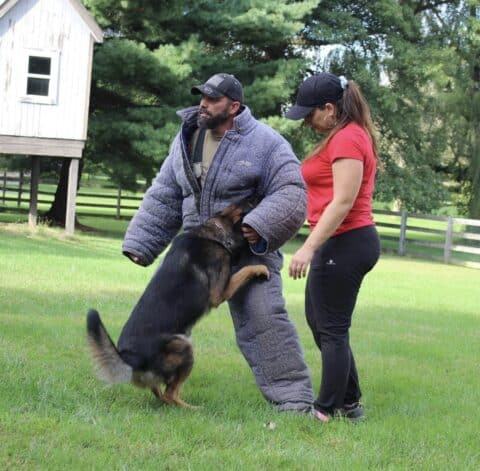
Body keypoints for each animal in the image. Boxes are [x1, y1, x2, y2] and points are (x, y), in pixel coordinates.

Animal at [85, 203, 268, 410]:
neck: (214, 234)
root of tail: (129, 359)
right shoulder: (219, 293)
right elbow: (244, 270)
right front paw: (260, 269)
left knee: (160, 392)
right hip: (184, 348)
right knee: (170, 394)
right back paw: (193, 409)